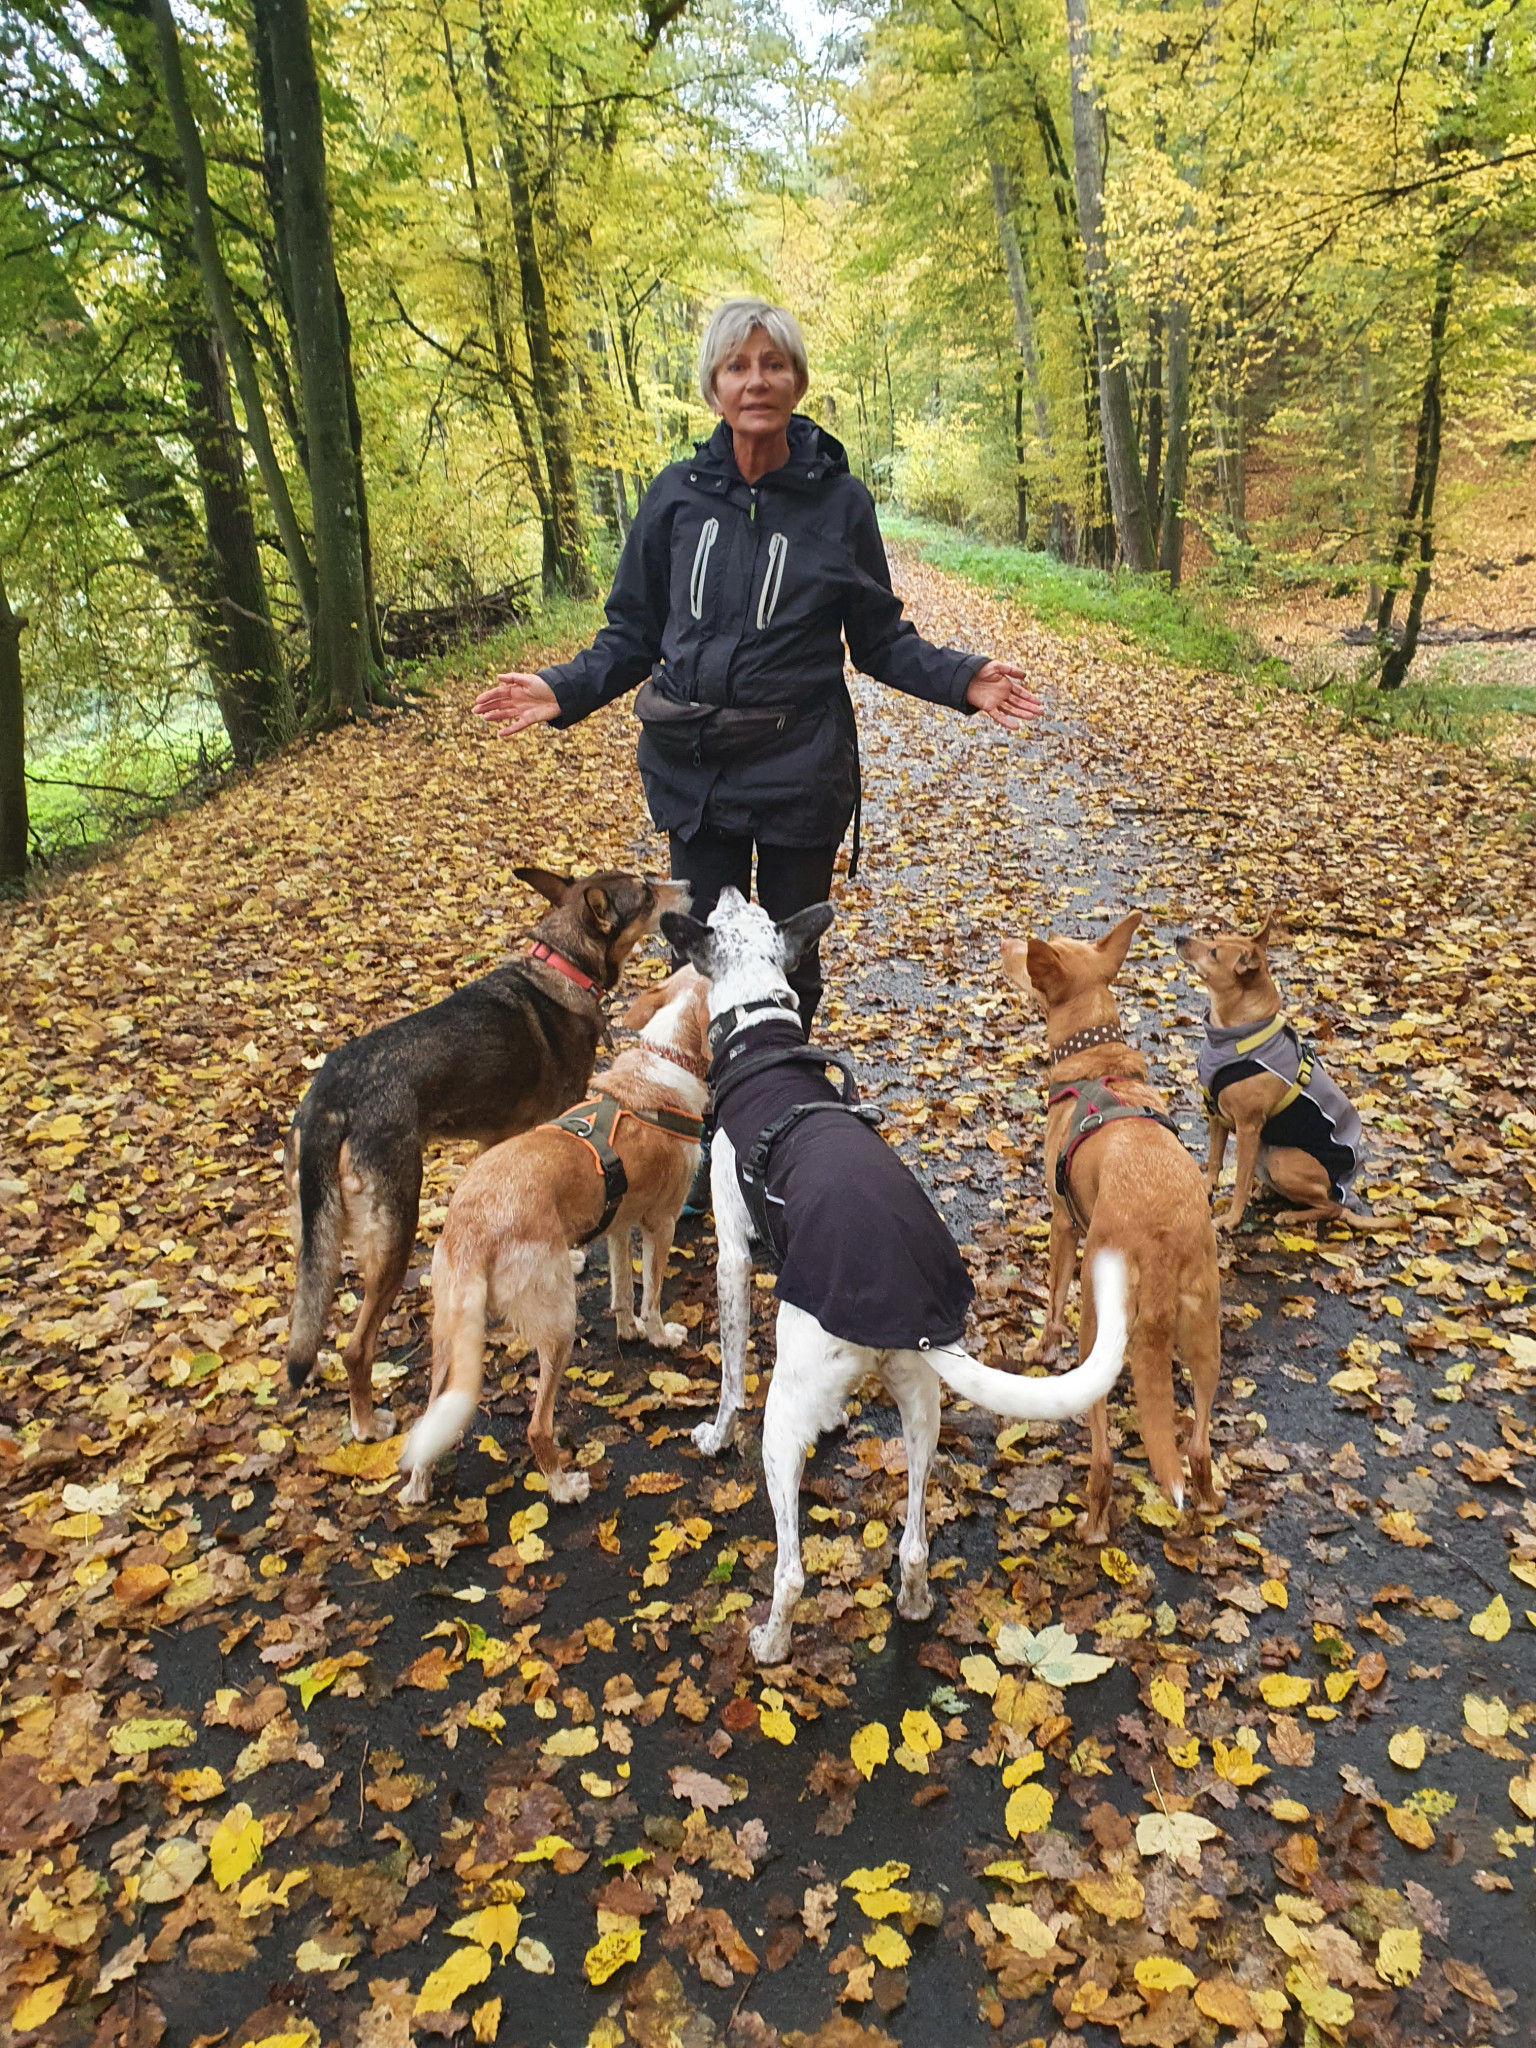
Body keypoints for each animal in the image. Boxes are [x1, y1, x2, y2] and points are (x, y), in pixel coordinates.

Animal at [393, 958, 712, 1507]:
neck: (665, 1062)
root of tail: (474, 1227)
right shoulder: (660, 1223)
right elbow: (650, 1295)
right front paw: (658, 1336)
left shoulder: (618, 1224)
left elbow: (622, 1293)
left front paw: (628, 1330)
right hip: (560, 1321)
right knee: (538, 1427)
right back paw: (564, 1487)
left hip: (449, 1333)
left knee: (431, 1417)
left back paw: (418, 1488)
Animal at [663, 888, 1130, 1671]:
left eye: (735, 910)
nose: (724, 890)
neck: (760, 1037)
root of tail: (904, 1302)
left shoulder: (734, 1257)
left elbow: (728, 1377)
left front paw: (714, 1434)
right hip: (922, 1409)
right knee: (913, 1541)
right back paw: (911, 1602)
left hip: (783, 1426)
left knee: (792, 1570)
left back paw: (771, 1642)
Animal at [999, 921, 1228, 1540]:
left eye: (1029, 958)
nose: (1002, 945)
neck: (1095, 1058)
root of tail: (1160, 1239)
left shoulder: (1061, 1224)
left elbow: (1053, 1298)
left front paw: (1039, 1347)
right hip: (1206, 1339)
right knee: (1198, 1447)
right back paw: (1206, 1502)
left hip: (1099, 1327)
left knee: (1103, 1458)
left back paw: (1092, 1525)